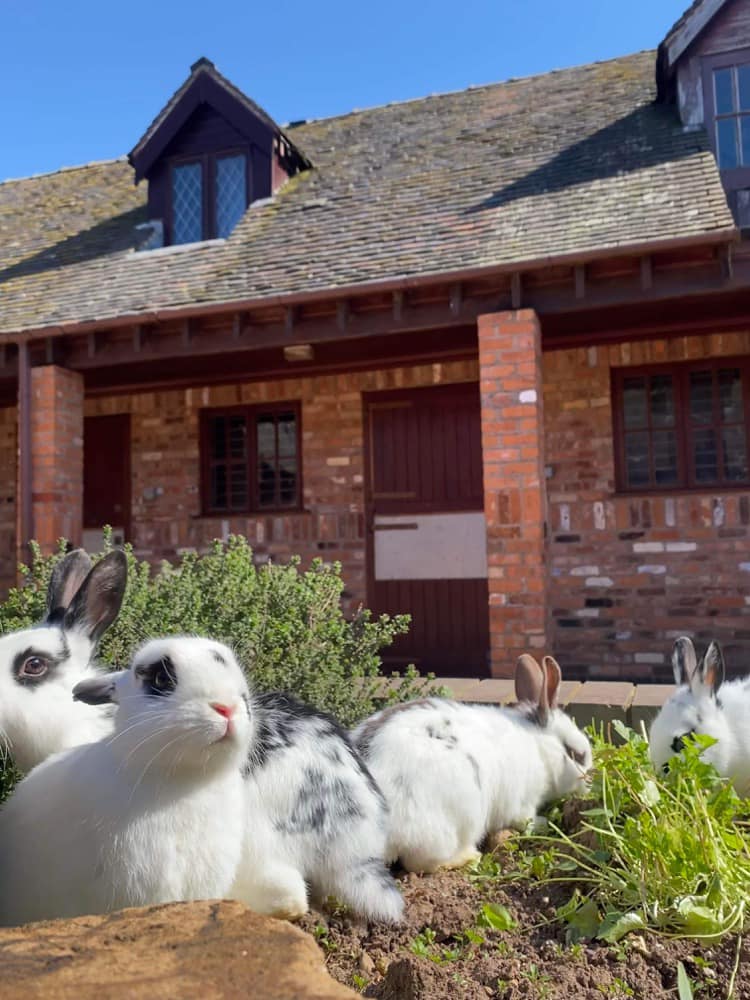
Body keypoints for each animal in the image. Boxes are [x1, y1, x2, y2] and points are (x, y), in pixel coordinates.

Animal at [350, 654, 593, 873]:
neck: (538, 746)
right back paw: (468, 857)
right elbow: (525, 820)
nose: (589, 784)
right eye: (577, 754)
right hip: (451, 822)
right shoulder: (522, 803)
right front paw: (544, 823)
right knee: (421, 863)